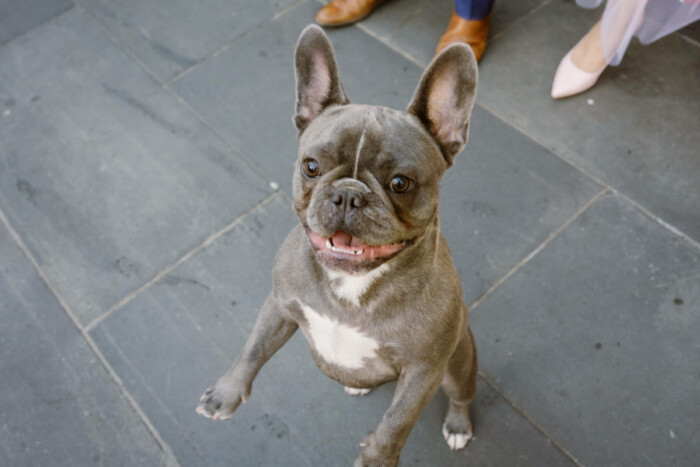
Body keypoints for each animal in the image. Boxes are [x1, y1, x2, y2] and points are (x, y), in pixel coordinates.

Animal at [198, 26, 482, 467]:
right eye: (311, 167)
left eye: (400, 183)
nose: (348, 194)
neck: (351, 284)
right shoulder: (279, 304)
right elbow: (252, 349)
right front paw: (225, 394)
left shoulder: (424, 369)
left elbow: (396, 422)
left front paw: (376, 460)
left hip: (458, 365)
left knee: (460, 396)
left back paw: (457, 425)